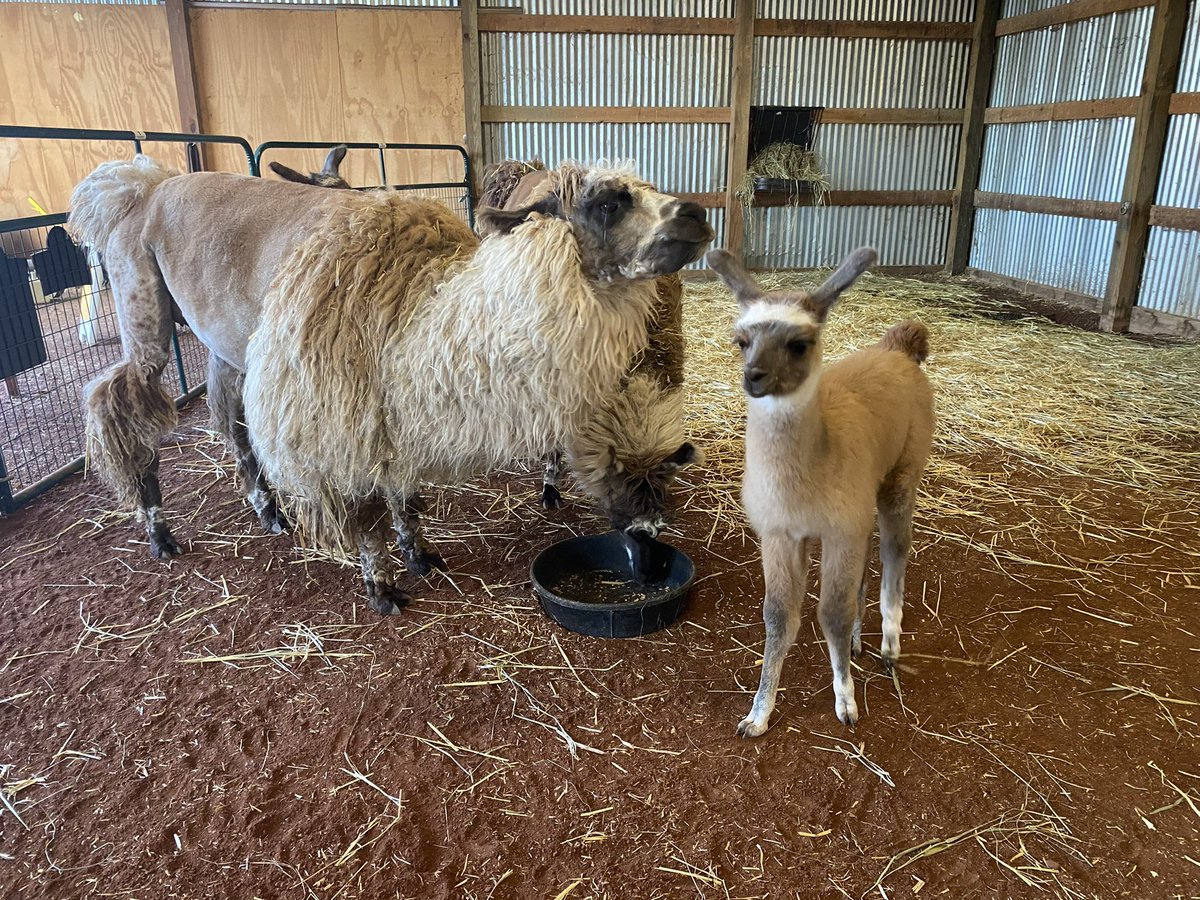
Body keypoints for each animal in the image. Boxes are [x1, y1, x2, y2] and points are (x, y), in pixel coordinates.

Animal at [707, 247, 934, 734]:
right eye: (741, 340)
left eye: (798, 343)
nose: (754, 376)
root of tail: (897, 347)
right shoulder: (780, 533)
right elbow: (778, 618)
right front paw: (758, 714)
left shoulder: (838, 528)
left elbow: (831, 613)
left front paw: (846, 702)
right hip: (862, 507)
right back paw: (860, 642)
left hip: (901, 476)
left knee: (896, 550)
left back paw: (889, 644)